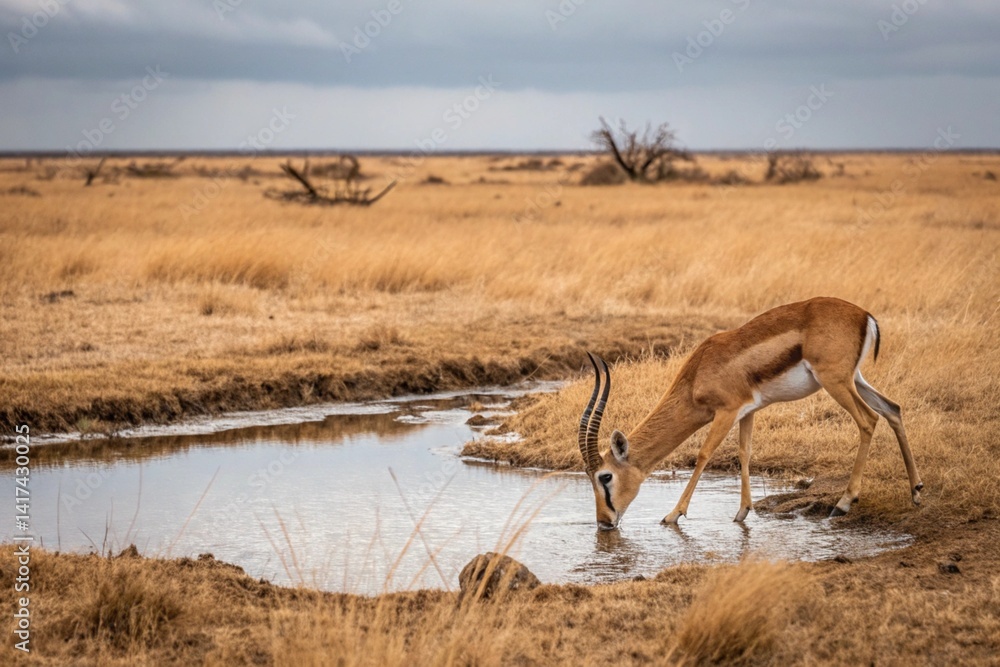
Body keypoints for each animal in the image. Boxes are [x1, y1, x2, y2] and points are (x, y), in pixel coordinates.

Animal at [578, 297, 923, 530]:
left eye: (605, 476)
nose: (604, 522)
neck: (699, 373)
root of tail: (864, 315)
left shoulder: (727, 411)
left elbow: (703, 454)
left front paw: (673, 515)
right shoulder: (748, 411)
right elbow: (744, 452)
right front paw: (743, 512)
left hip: (836, 382)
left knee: (869, 420)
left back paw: (844, 503)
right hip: (855, 379)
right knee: (893, 409)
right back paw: (916, 492)